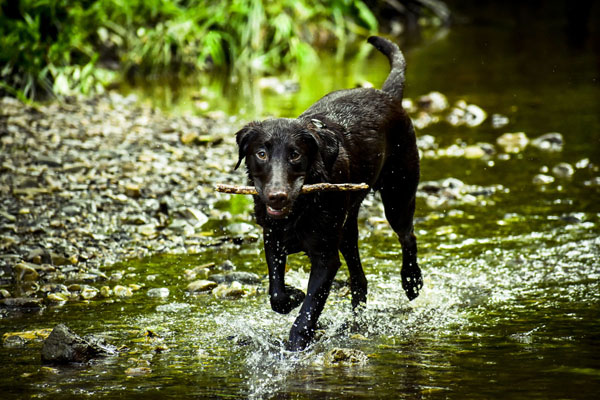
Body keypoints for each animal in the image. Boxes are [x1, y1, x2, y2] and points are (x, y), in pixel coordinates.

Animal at [234, 36, 422, 350]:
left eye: (295, 155)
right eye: (261, 153)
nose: (276, 196)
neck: (300, 208)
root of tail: (387, 95)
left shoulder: (325, 257)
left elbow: (310, 307)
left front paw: (298, 341)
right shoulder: (273, 239)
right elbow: (277, 294)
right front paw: (292, 295)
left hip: (398, 195)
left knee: (408, 237)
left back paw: (412, 281)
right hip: (346, 228)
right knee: (359, 278)